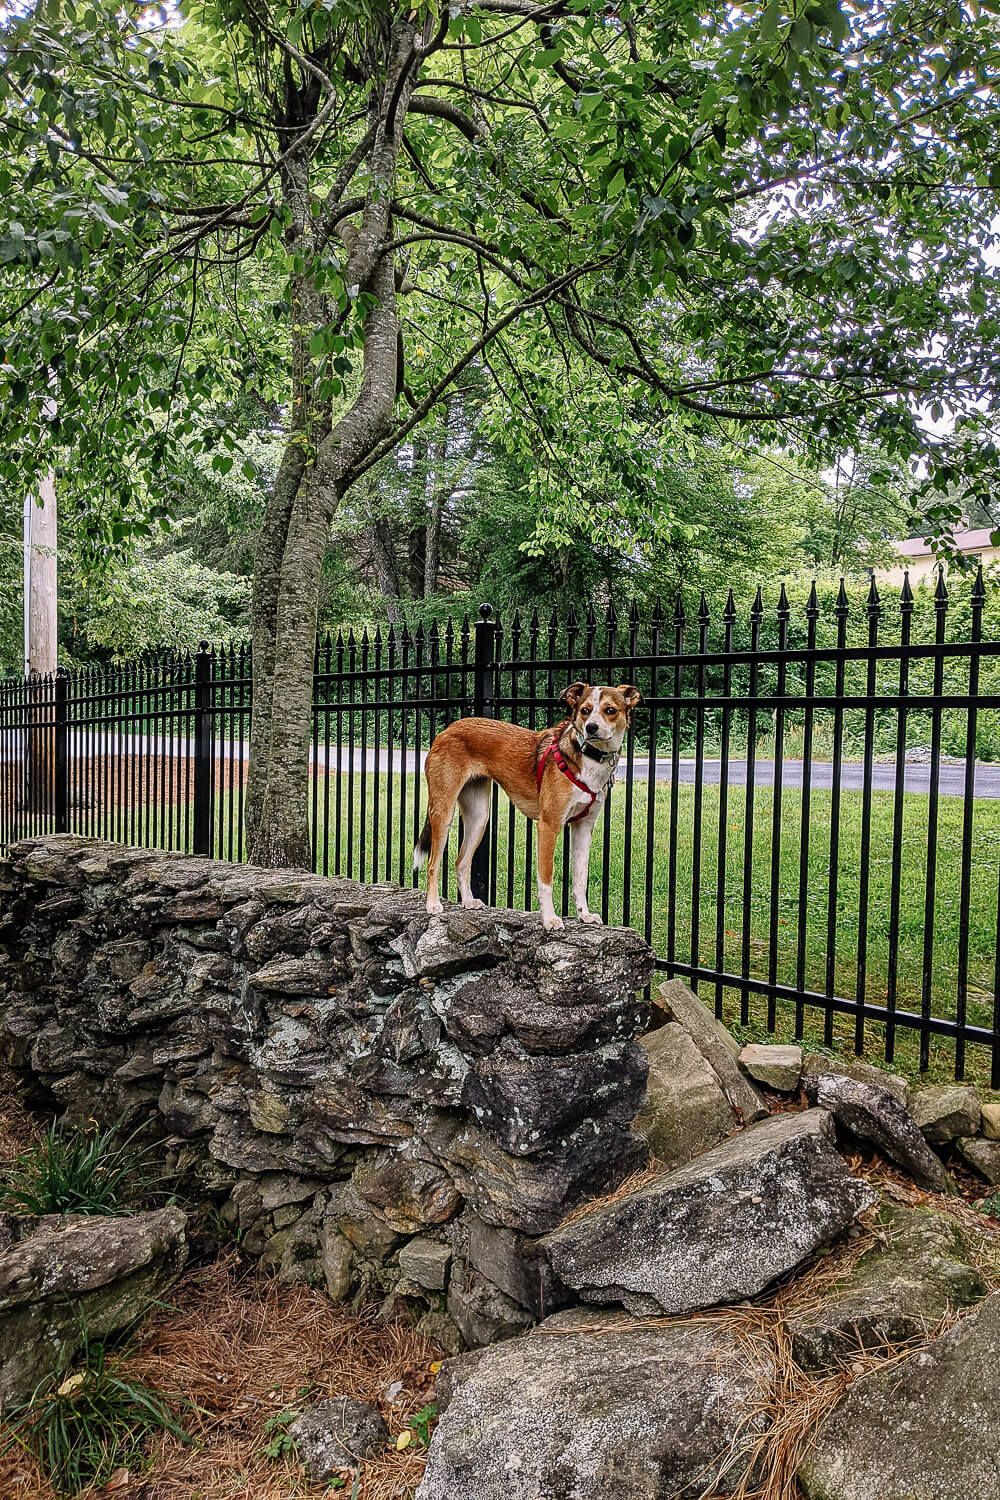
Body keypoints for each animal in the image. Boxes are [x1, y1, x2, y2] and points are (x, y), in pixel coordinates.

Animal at [413, 687, 641, 930]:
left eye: (610, 710)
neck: (588, 758)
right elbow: (546, 881)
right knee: (433, 863)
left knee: (461, 862)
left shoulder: (583, 829)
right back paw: (433, 904)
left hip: (479, 818)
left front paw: (584, 915)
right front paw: (549, 919)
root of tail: (448, 730)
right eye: (585, 710)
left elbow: (580, 880)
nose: (591, 728)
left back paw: (467, 901)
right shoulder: (548, 827)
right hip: (443, 812)